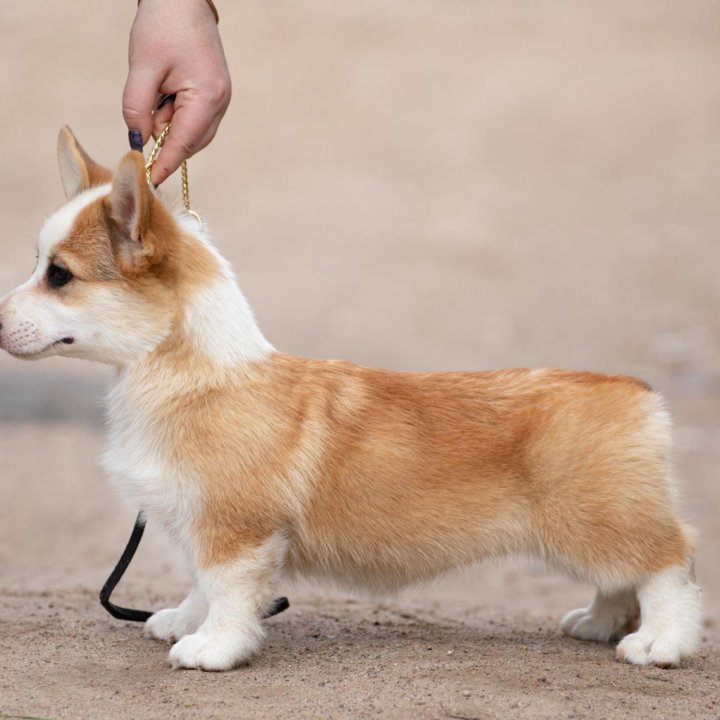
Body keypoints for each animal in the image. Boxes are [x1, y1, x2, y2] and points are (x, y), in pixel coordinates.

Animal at [0, 128, 700, 668]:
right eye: (39, 264)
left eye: (59, 274)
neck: (188, 372)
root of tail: (638, 394)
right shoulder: (205, 525)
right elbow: (201, 583)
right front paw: (181, 618)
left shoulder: (236, 529)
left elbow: (227, 593)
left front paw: (212, 648)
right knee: (623, 580)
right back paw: (598, 623)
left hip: (598, 522)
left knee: (670, 563)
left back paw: (658, 643)